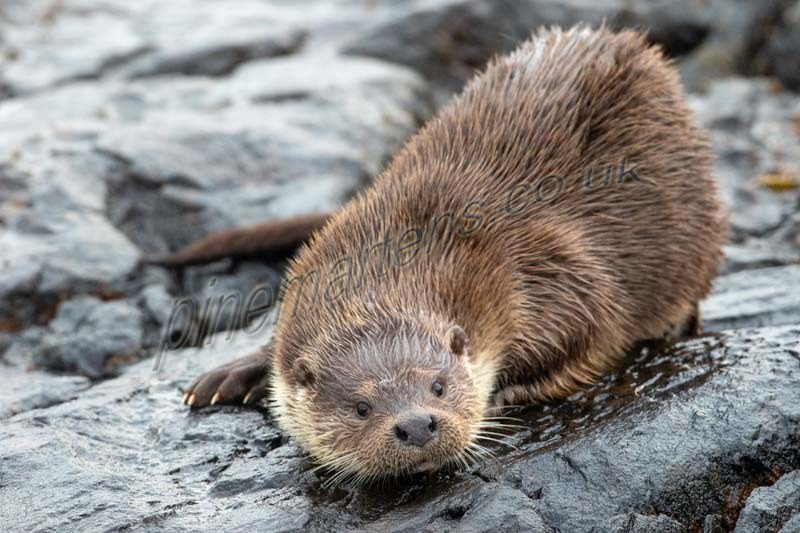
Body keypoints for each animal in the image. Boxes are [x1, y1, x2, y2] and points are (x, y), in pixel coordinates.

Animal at [160, 25, 728, 482]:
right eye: (361, 406)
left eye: (438, 386)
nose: (415, 424)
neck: (397, 251)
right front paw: (232, 374)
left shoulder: (556, 272)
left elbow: (592, 330)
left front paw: (501, 396)